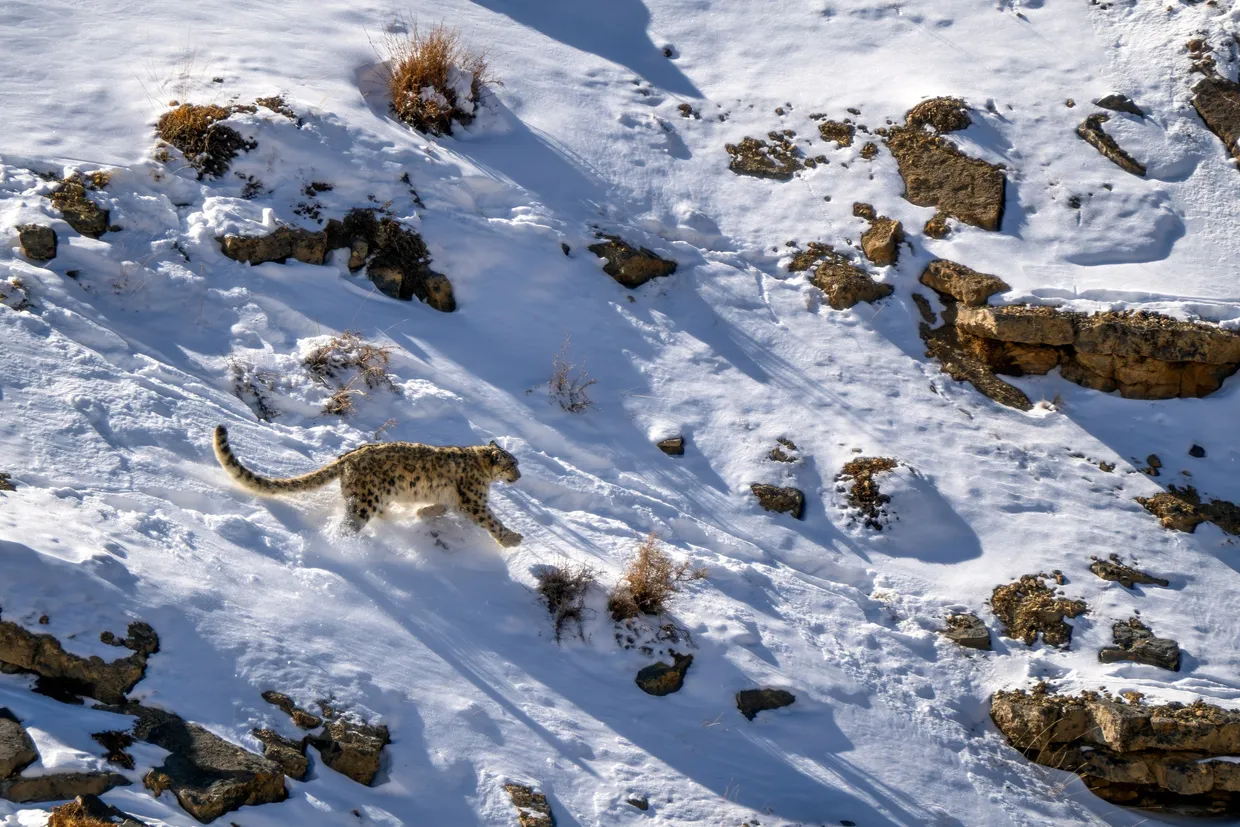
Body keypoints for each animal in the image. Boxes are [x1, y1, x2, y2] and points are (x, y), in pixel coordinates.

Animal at [212, 425, 523, 546]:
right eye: (512, 464)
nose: (520, 476)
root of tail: (347, 457)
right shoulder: (474, 500)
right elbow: (491, 520)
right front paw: (512, 539)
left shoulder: (455, 498)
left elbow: (441, 506)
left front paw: (423, 513)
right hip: (365, 501)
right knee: (347, 526)